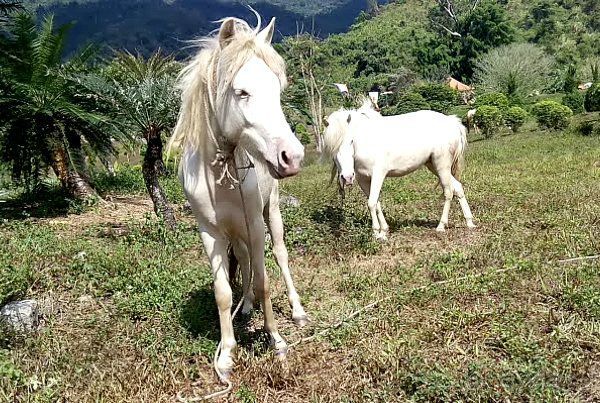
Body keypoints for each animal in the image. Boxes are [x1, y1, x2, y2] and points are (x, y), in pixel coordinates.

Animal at [169, 15, 310, 378]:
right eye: (241, 92)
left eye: (278, 90)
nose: (292, 156)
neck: (221, 175)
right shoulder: (211, 233)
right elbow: (222, 292)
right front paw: (227, 354)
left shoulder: (256, 226)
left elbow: (264, 282)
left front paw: (277, 342)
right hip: (237, 231)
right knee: (244, 261)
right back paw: (245, 306)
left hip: (270, 213)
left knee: (280, 256)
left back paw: (297, 311)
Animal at [322, 106, 476, 240]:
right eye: (332, 151)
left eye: (351, 142)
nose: (347, 177)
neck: (365, 143)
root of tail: (452, 122)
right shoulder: (363, 180)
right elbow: (376, 202)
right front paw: (384, 230)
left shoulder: (378, 175)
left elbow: (371, 203)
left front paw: (377, 233)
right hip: (433, 165)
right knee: (457, 187)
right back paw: (469, 222)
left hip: (442, 165)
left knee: (448, 192)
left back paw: (441, 226)